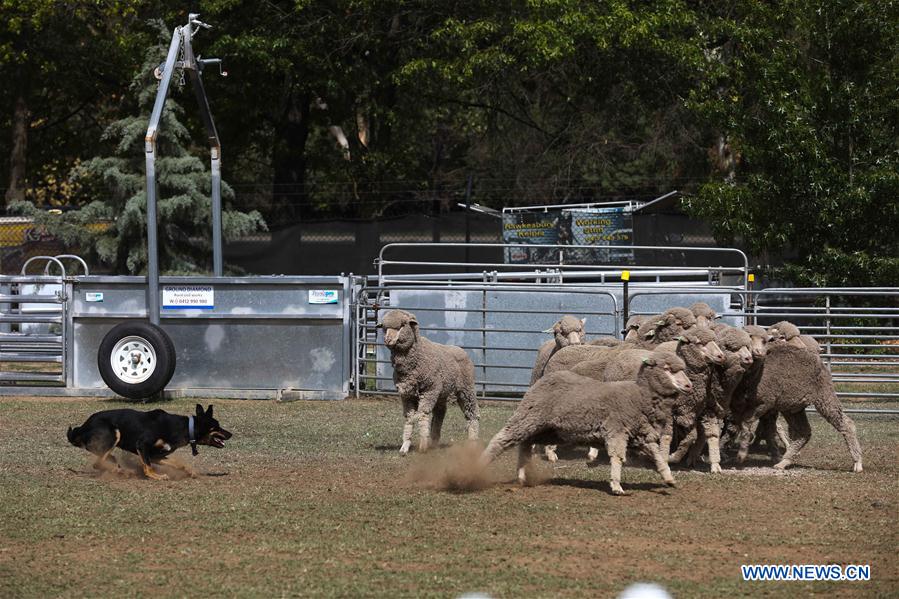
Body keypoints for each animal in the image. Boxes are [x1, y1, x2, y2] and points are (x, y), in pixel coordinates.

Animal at [68, 404, 234, 482]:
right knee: (98, 463)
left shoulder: (157, 456)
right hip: (114, 434)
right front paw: (158, 477)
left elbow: (178, 464)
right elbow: (147, 467)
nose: (231, 434)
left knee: (106, 459)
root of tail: (82, 427)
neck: (185, 427)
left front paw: (190, 471)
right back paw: (120, 471)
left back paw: (120, 469)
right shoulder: (142, 445)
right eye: (216, 426)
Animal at [478, 350, 696, 494]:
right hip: (528, 417)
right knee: (501, 439)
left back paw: (522, 476)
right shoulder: (616, 430)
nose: (689, 386)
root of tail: (541, 381)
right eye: (667, 369)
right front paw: (616, 485)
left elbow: (658, 456)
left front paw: (669, 478)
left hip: (546, 429)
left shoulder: (642, 434)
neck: (640, 395)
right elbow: (617, 457)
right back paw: (480, 465)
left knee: (525, 444)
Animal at [732, 340, 864, 472]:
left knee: (846, 424)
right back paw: (783, 462)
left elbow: (746, 424)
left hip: (824, 397)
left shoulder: (763, 404)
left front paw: (741, 455)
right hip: (793, 408)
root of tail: (821, 364)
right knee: (804, 432)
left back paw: (857, 463)